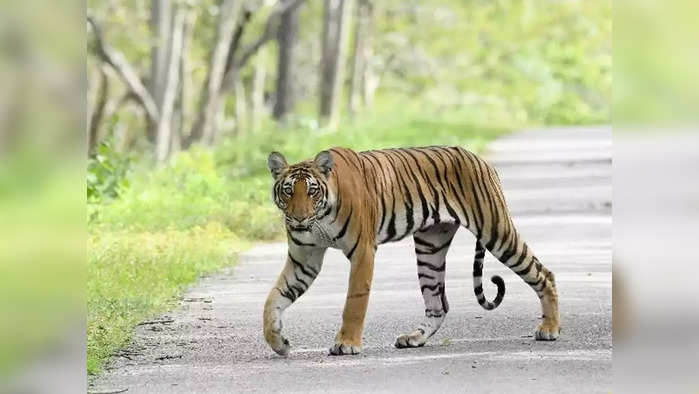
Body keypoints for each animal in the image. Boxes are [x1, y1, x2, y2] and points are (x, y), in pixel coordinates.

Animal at [264, 146, 564, 356]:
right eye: (288, 191)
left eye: (312, 191)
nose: (299, 218)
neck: (320, 218)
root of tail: (480, 159)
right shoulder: (304, 259)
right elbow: (274, 299)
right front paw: (278, 342)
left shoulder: (363, 251)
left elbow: (354, 302)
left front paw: (347, 343)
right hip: (430, 248)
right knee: (439, 304)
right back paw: (414, 338)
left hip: (496, 232)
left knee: (543, 273)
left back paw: (549, 329)